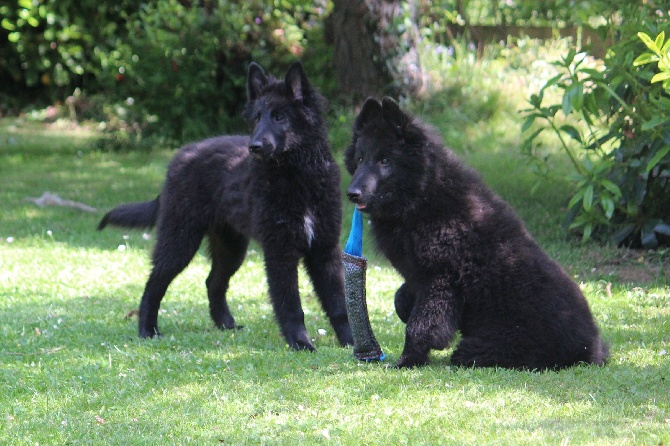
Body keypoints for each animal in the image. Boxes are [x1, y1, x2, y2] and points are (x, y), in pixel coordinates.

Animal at [346, 97, 608, 370]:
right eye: (360, 159)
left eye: (385, 161)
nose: (352, 193)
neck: (423, 196)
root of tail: (593, 350)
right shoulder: (421, 278)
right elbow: (401, 301)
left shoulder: (439, 281)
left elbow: (420, 327)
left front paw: (407, 361)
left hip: (484, 348)